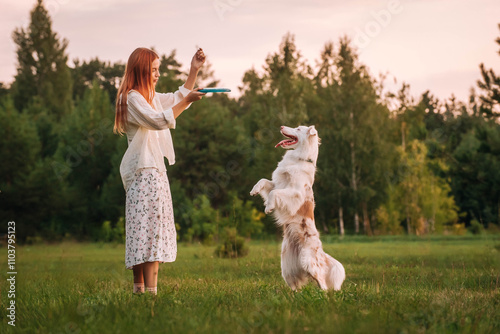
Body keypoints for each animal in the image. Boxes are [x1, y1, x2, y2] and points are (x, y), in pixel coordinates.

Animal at [249, 125, 344, 290]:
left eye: (298, 129)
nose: (281, 126)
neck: (298, 159)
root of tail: (321, 251)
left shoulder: (295, 193)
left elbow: (274, 193)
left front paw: (268, 207)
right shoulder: (278, 184)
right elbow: (264, 181)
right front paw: (255, 190)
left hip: (309, 262)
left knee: (322, 281)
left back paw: (324, 294)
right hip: (287, 266)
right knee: (295, 284)